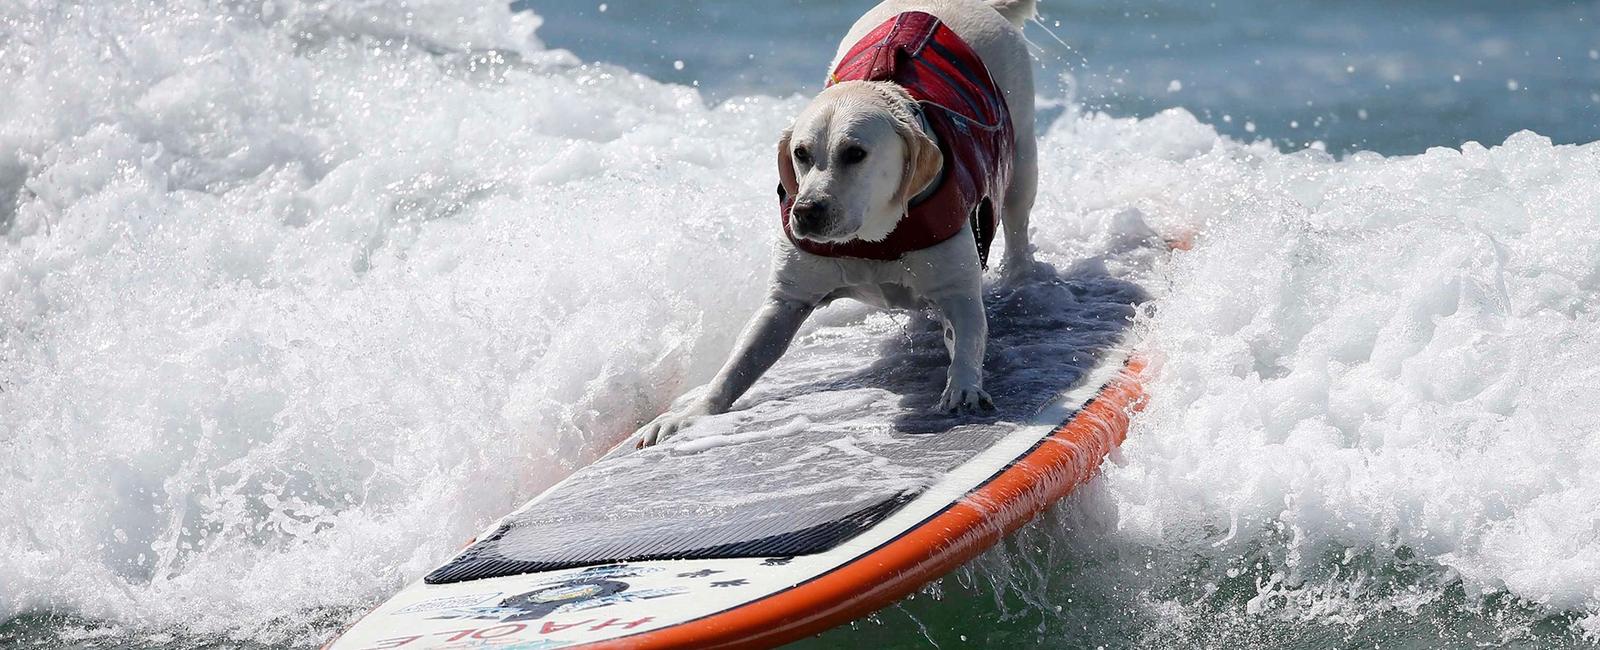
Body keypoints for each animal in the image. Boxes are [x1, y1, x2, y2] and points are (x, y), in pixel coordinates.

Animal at [636, 0, 1036, 448]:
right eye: (801, 153)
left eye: (855, 153)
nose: (806, 210)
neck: (875, 238)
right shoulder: (786, 299)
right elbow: (739, 363)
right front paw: (690, 414)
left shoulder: (957, 289)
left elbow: (969, 333)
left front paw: (964, 386)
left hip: (1023, 159)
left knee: (1018, 221)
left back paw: (1022, 276)